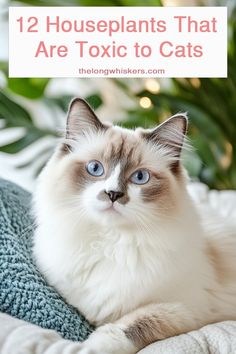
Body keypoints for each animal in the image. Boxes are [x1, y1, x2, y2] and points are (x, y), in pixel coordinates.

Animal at [32, 98, 236, 354]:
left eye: (140, 177)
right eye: (95, 168)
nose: (113, 194)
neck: (112, 242)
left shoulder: (183, 308)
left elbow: (129, 326)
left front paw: (88, 347)